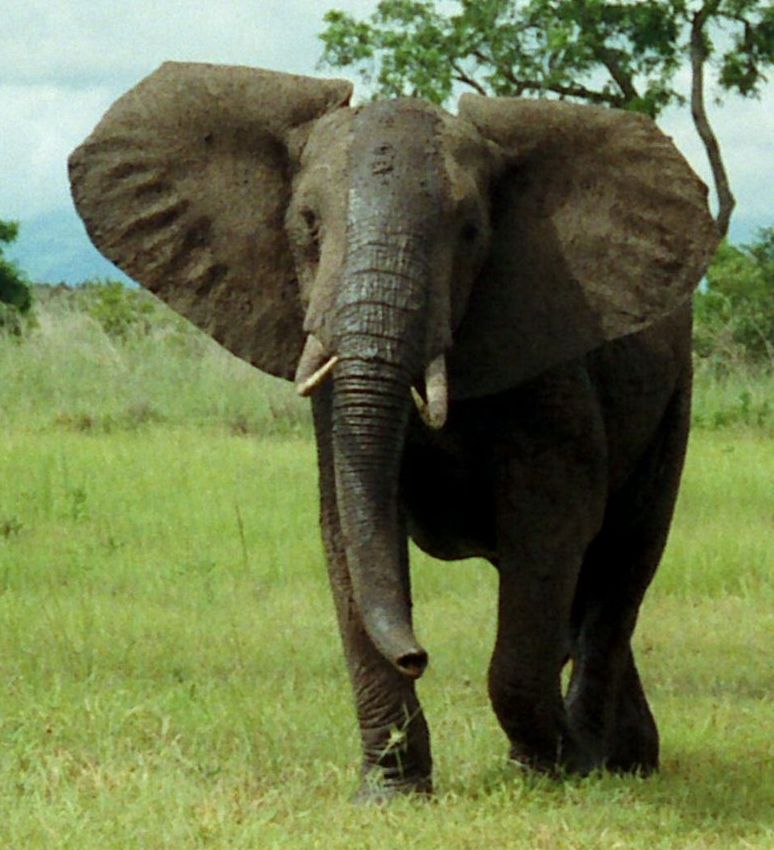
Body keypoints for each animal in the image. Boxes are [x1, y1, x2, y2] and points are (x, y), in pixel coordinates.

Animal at [69, 62, 718, 799]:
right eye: (307, 224)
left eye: (472, 231)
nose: (417, 655)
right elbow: (346, 525)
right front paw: (390, 793)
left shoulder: (548, 356)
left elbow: (552, 519)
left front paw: (552, 770)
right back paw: (624, 755)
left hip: (677, 394)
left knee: (621, 563)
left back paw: (609, 760)